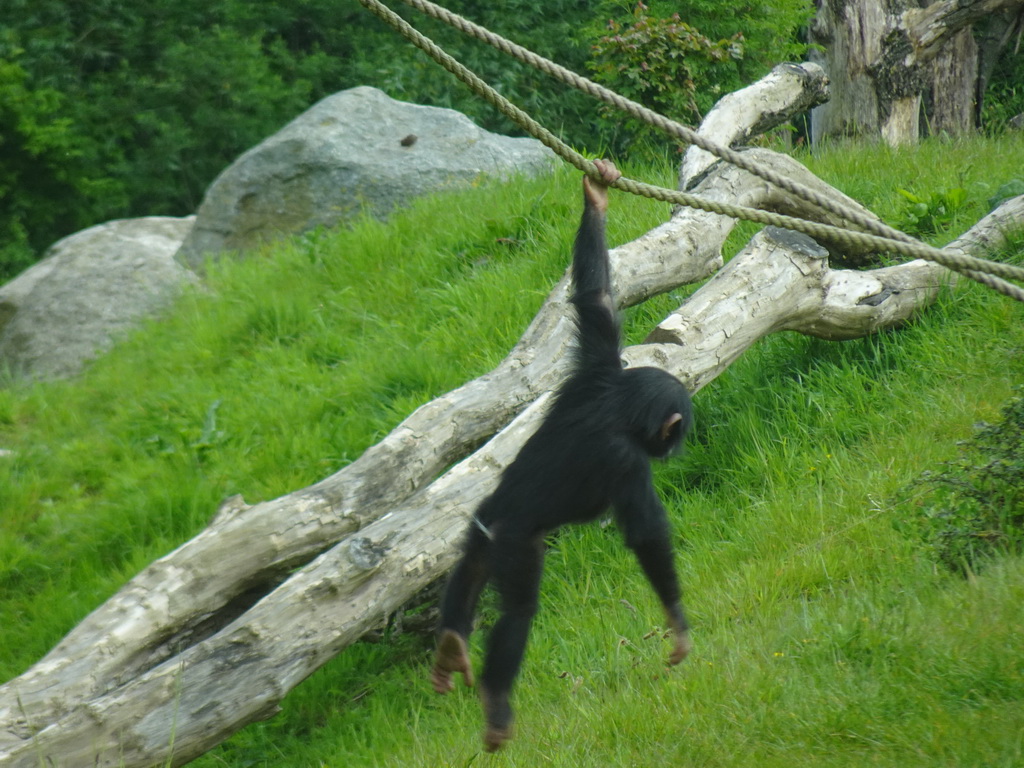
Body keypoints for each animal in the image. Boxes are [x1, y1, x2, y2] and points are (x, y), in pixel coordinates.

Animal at [432, 159, 696, 753]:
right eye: (675, 432)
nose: (676, 446)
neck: (619, 407)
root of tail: (493, 523)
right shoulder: (625, 462)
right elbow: (644, 533)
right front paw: (677, 624)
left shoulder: (598, 363)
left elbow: (595, 297)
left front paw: (596, 197)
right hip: (513, 544)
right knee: (517, 612)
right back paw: (496, 704)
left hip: (479, 527)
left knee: (467, 574)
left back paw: (451, 645)